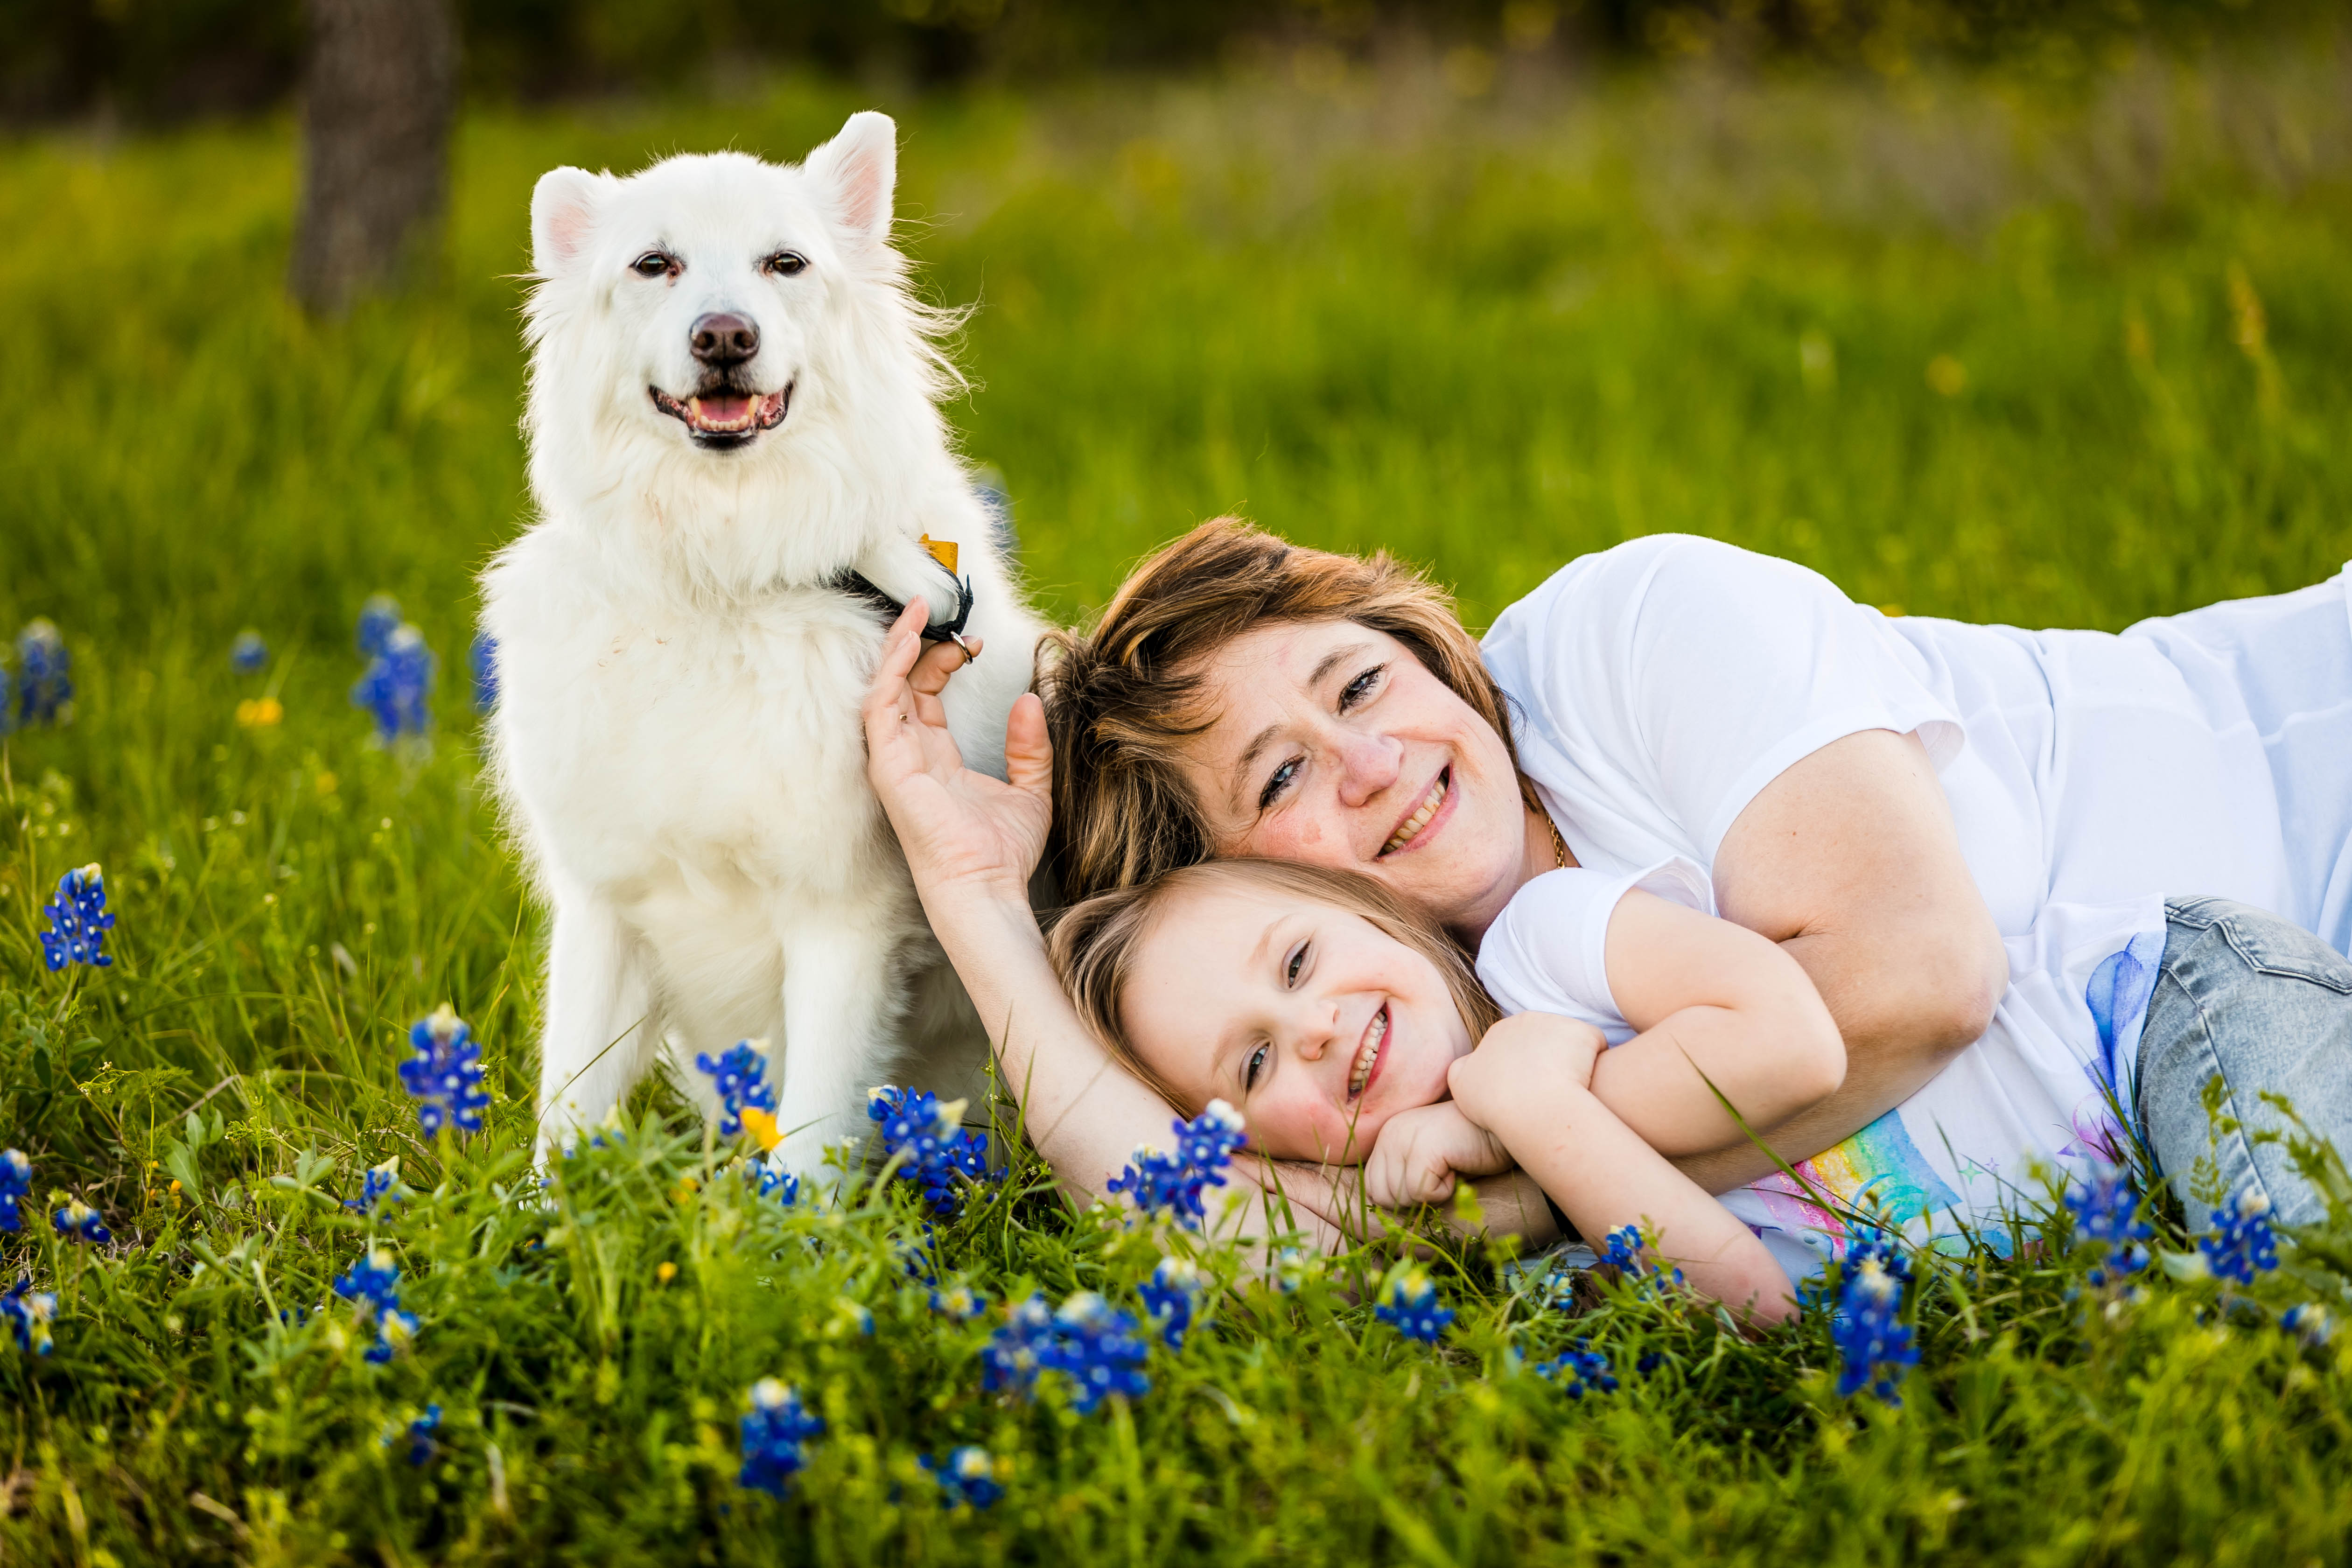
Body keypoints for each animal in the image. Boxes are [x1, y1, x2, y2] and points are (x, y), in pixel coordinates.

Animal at [484, 116, 1039, 1170]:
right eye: (653, 264)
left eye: (785, 263)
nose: (724, 337)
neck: (726, 580)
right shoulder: (604, 904)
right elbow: (567, 1112)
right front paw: (534, 1215)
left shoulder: (842, 918)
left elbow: (813, 1135)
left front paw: (794, 1219)